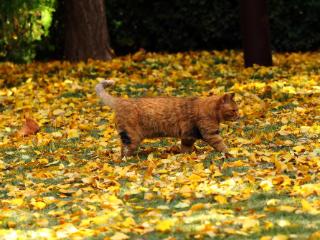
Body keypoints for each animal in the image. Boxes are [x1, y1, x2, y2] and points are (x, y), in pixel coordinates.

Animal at [96, 79, 239, 158]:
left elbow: (185, 149)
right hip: (132, 137)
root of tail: (121, 101)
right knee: (124, 152)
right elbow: (222, 146)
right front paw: (231, 155)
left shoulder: (188, 136)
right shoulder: (211, 134)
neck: (210, 110)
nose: (239, 116)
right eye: (234, 110)